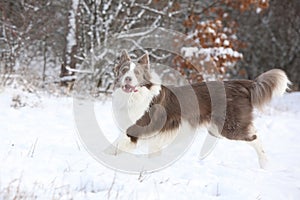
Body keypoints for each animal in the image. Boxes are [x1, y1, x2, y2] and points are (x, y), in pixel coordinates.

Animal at [110, 50, 290, 169]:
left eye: (137, 73)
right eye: (124, 70)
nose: (128, 79)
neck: (134, 96)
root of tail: (241, 83)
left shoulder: (136, 129)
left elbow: (115, 146)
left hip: (230, 127)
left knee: (255, 138)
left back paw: (264, 164)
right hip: (219, 127)